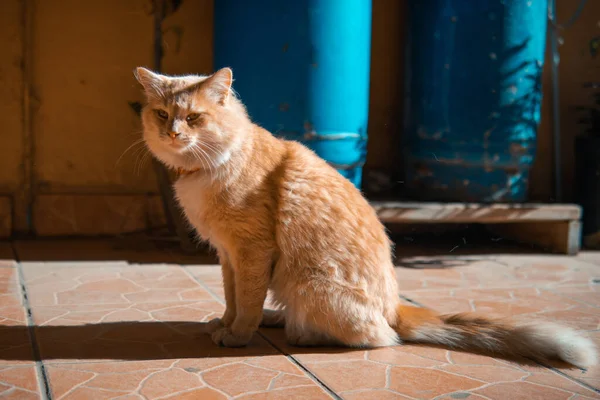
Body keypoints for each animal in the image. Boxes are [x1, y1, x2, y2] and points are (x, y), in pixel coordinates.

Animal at [135, 66, 596, 368]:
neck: (208, 168)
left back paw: (296, 331)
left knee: (377, 339)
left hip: (308, 282)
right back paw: (276, 318)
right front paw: (225, 324)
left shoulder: (252, 252)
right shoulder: (228, 256)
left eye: (194, 117)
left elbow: (246, 302)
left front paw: (237, 336)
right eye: (161, 114)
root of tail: (396, 309)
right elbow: (233, 299)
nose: (172, 133)